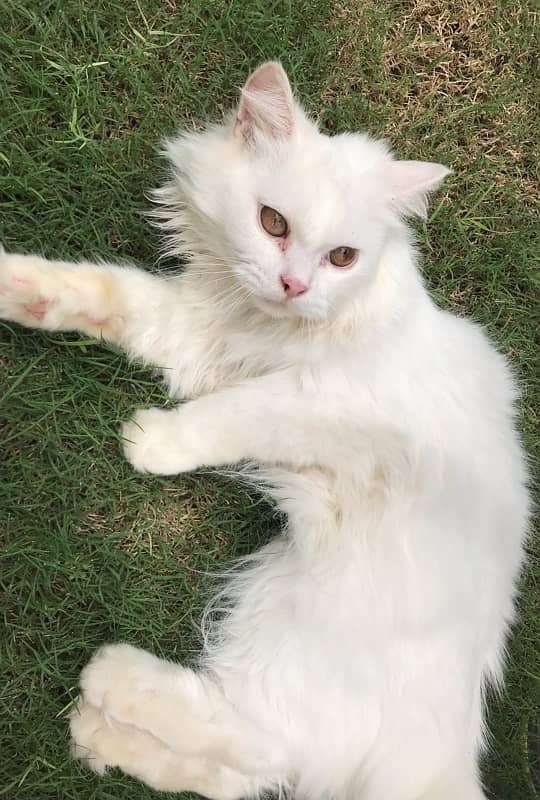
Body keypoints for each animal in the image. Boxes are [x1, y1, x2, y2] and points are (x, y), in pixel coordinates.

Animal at [0, 64, 528, 800]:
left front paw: (154, 443)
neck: (262, 327)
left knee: (258, 740)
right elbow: (104, 294)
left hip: (302, 630)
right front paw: (15, 285)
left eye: (343, 257)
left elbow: (230, 416)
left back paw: (109, 679)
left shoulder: (317, 402)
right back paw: (98, 733)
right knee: (244, 766)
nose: (294, 284)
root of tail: (446, 751)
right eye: (272, 222)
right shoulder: (193, 334)